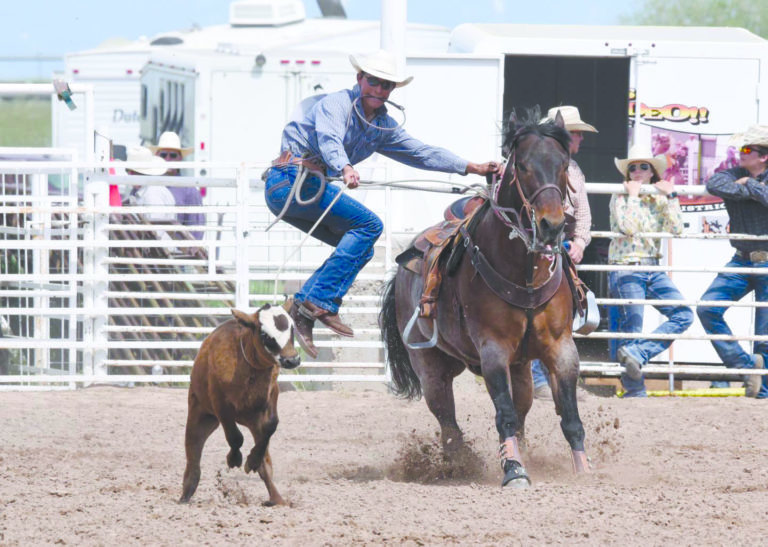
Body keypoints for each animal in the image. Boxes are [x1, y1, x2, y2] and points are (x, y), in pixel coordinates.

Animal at [180, 302, 300, 508]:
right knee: (193, 456)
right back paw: (185, 496)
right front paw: (234, 458)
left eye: (292, 329)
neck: (250, 367)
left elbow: (271, 425)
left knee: (265, 463)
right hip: (200, 415)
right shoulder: (220, 403)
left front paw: (251, 460)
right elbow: (235, 437)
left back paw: (275, 497)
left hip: (253, 423)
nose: (292, 360)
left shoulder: (272, 395)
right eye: (265, 335)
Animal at [380, 110, 592, 488]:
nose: (552, 226)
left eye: (564, 164)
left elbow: (569, 415)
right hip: (431, 368)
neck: (523, 271)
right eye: (522, 165)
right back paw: (460, 464)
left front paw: (582, 470)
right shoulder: (493, 350)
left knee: (521, 408)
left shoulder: (561, 346)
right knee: (448, 422)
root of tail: (403, 269)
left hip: (519, 367)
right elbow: (503, 414)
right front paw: (514, 471)